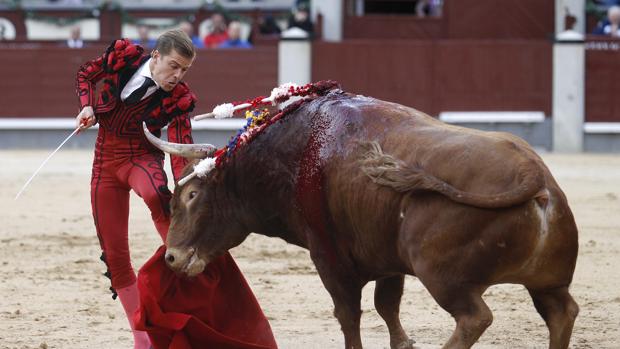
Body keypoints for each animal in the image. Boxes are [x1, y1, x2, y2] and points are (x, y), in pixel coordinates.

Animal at [143, 87, 580, 348]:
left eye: (192, 195)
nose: (172, 257)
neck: (294, 151)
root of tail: (532, 173)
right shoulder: (388, 260)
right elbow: (387, 306)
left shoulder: (329, 258)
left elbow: (349, 314)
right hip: (548, 282)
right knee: (562, 313)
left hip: (443, 277)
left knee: (475, 318)